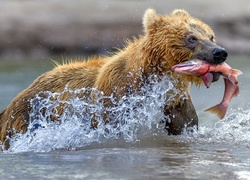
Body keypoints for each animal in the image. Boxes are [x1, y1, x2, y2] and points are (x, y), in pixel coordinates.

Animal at [0, 8, 227, 149]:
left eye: (211, 35)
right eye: (191, 37)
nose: (219, 52)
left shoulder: (175, 103)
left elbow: (184, 127)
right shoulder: (115, 100)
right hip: (26, 118)